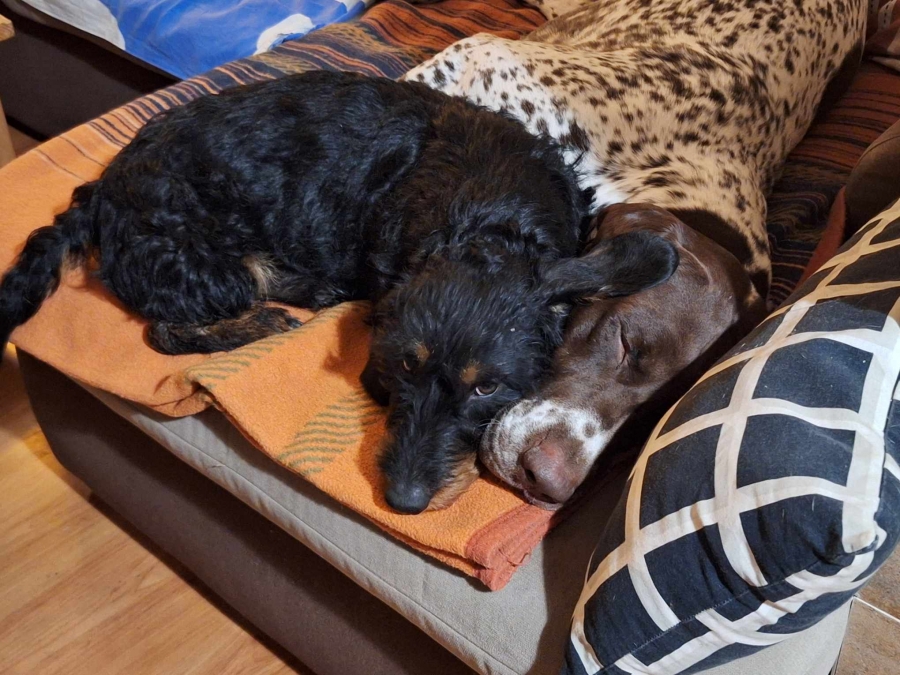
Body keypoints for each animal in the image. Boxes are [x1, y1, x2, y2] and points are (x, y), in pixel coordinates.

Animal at [0, 69, 678, 514]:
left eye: (488, 388)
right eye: (402, 367)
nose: (403, 502)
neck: (490, 214)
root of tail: (99, 194)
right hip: (204, 259)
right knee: (164, 328)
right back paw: (273, 315)